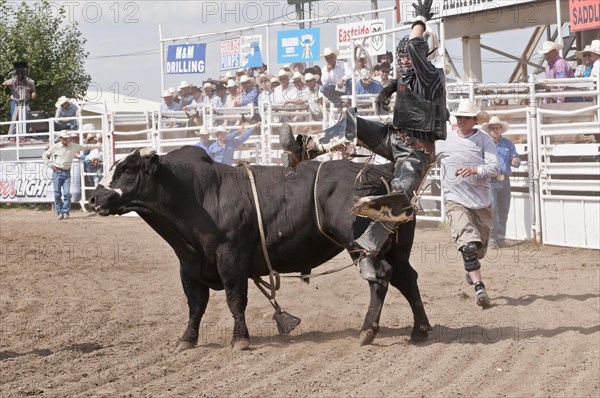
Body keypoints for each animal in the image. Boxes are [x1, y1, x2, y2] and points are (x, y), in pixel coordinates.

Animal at [89, 146, 432, 352]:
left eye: (127, 169)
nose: (94, 198)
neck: (198, 195)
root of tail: (381, 173)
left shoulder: (231, 259)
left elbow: (235, 300)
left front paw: (240, 340)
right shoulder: (189, 265)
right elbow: (195, 306)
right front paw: (186, 340)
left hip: (360, 245)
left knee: (381, 277)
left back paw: (368, 331)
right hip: (396, 247)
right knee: (406, 277)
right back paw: (420, 330)